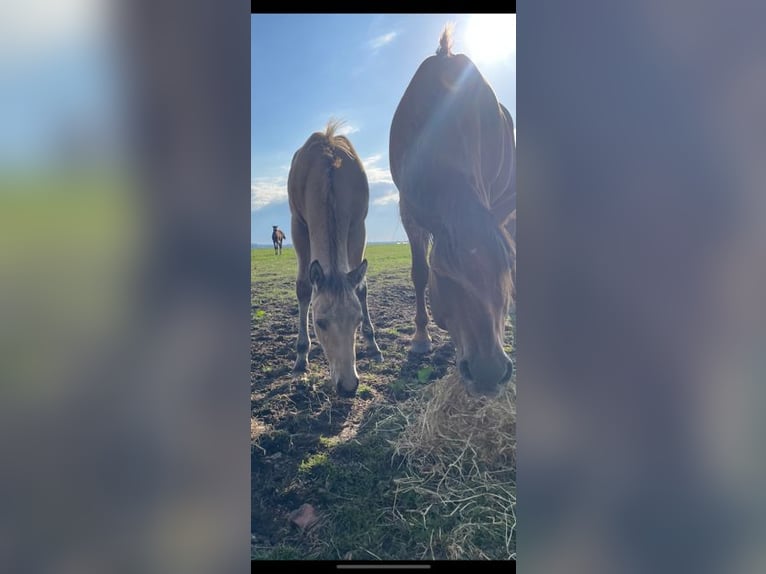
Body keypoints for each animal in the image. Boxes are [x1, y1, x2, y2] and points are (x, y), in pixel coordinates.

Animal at [288, 119, 384, 398]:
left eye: (358, 319)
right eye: (319, 322)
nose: (348, 386)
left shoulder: (358, 226)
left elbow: (361, 286)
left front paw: (372, 343)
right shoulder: (298, 226)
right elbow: (304, 288)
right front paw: (301, 357)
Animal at [392, 24, 520, 398]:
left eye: (506, 265)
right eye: (444, 274)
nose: (489, 372)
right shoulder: (410, 210)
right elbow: (419, 272)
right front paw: (421, 337)